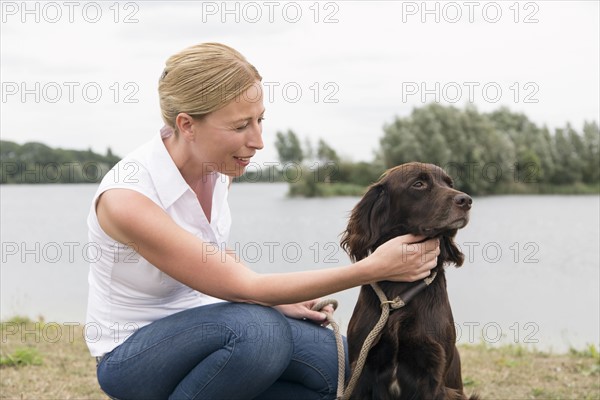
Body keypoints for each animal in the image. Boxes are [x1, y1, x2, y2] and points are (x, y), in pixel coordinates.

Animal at [342, 162, 478, 400]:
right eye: (419, 184)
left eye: (449, 183)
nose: (466, 200)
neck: (401, 289)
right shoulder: (361, 368)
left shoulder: (433, 376)